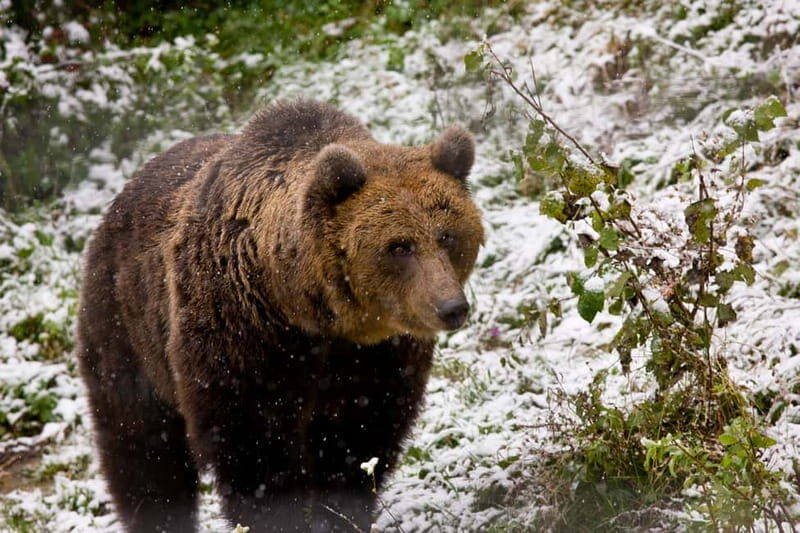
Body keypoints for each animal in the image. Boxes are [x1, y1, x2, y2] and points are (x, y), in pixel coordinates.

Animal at [76, 99, 484, 532]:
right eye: (399, 246)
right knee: (142, 449)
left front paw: (339, 513)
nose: (451, 307)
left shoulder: (376, 358)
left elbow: (358, 438)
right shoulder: (241, 337)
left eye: (447, 235)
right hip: (128, 331)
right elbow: (254, 449)